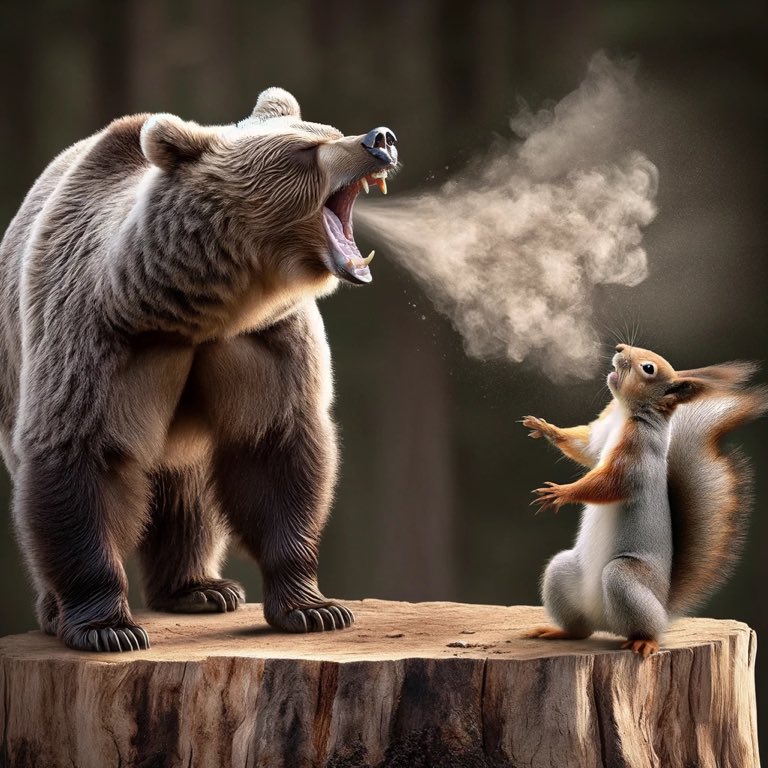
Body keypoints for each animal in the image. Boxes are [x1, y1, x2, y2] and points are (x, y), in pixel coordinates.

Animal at [0, 87, 398, 652]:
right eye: (305, 151)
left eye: (327, 131)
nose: (378, 139)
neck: (200, 312)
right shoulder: (98, 340)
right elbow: (80, 457)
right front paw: (108, 627)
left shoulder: (264, 344)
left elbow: (277, 451)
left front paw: (314, 607)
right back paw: (58, 611)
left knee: (186, 493)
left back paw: (202, 588)